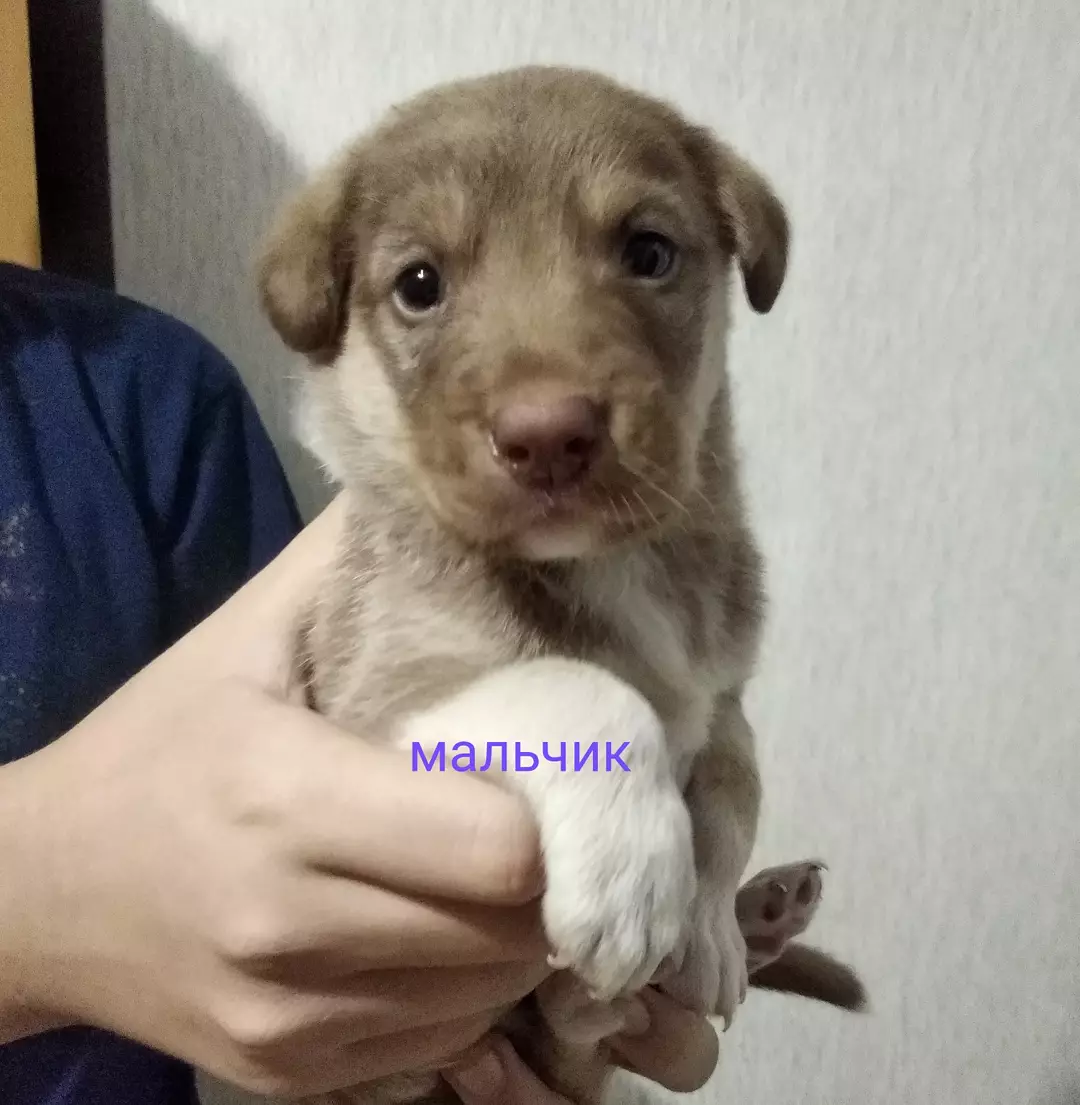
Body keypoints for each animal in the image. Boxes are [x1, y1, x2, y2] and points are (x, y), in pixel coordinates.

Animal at [257, 65, 862, 1104]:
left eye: (649, 252)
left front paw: (707, 924)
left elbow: (735, 784)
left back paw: (762, 915)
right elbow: (575, 684)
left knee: (584, 1038)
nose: (548, 435)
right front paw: (636, 879)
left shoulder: (723, 693)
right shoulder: (375, 701)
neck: (612, 563)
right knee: (576, 1021)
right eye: (420, 285)